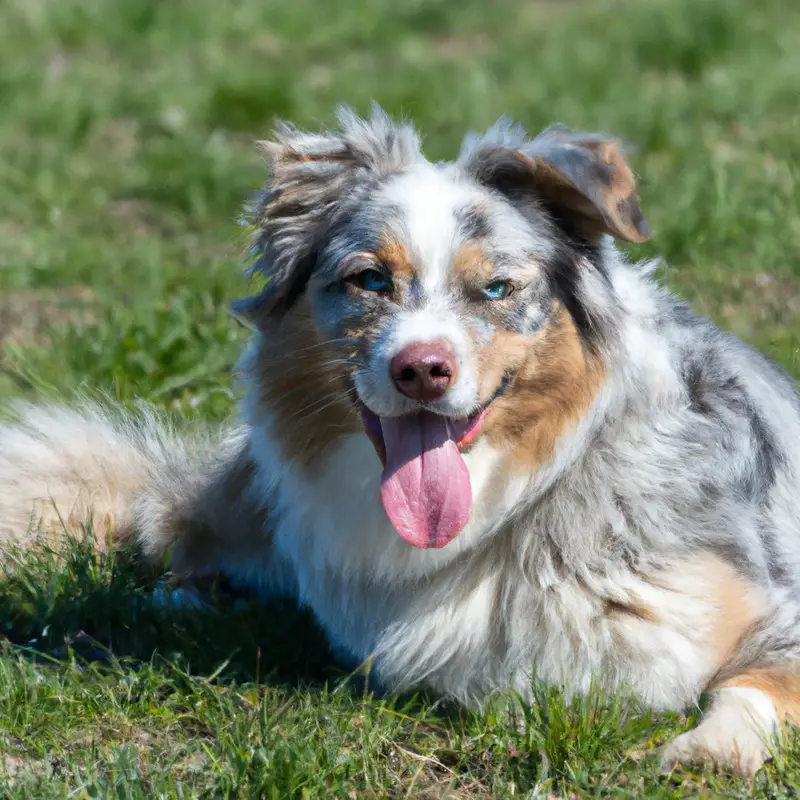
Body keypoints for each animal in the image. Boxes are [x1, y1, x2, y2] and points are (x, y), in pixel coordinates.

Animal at [1, 106, 800, 776]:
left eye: (496, 289)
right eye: (370, 280)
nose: (420, 369)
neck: (517, 506)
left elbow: (752, 683)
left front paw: (710, 751)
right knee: (174, 521)